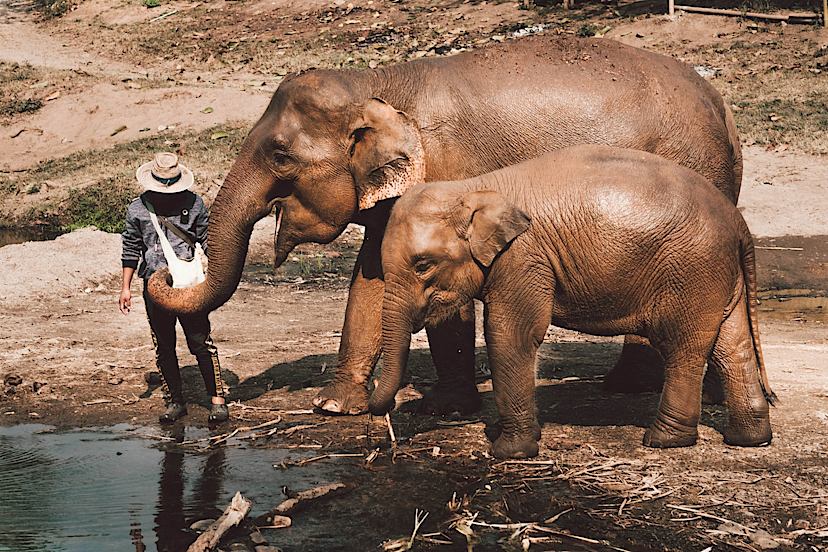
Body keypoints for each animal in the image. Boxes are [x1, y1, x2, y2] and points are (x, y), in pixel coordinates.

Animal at [147, 34, 742, 416]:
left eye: (280, 156)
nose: (161, 271)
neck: (378, 83)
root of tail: (723, 106)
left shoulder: (449, 172)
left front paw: (448, 408)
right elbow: (371, 278)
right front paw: (334, 406)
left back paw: (630, 388)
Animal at [369, 139, 775, 459]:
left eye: (423, 265)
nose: (385, 425)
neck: (474, 188)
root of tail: (738, 221)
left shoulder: (523, 258)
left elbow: (511, 335)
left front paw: (509, 452)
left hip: (691, 271)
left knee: (683, 347)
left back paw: (663, 440)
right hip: (717, 274)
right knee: (731, 344)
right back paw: (750, 438)